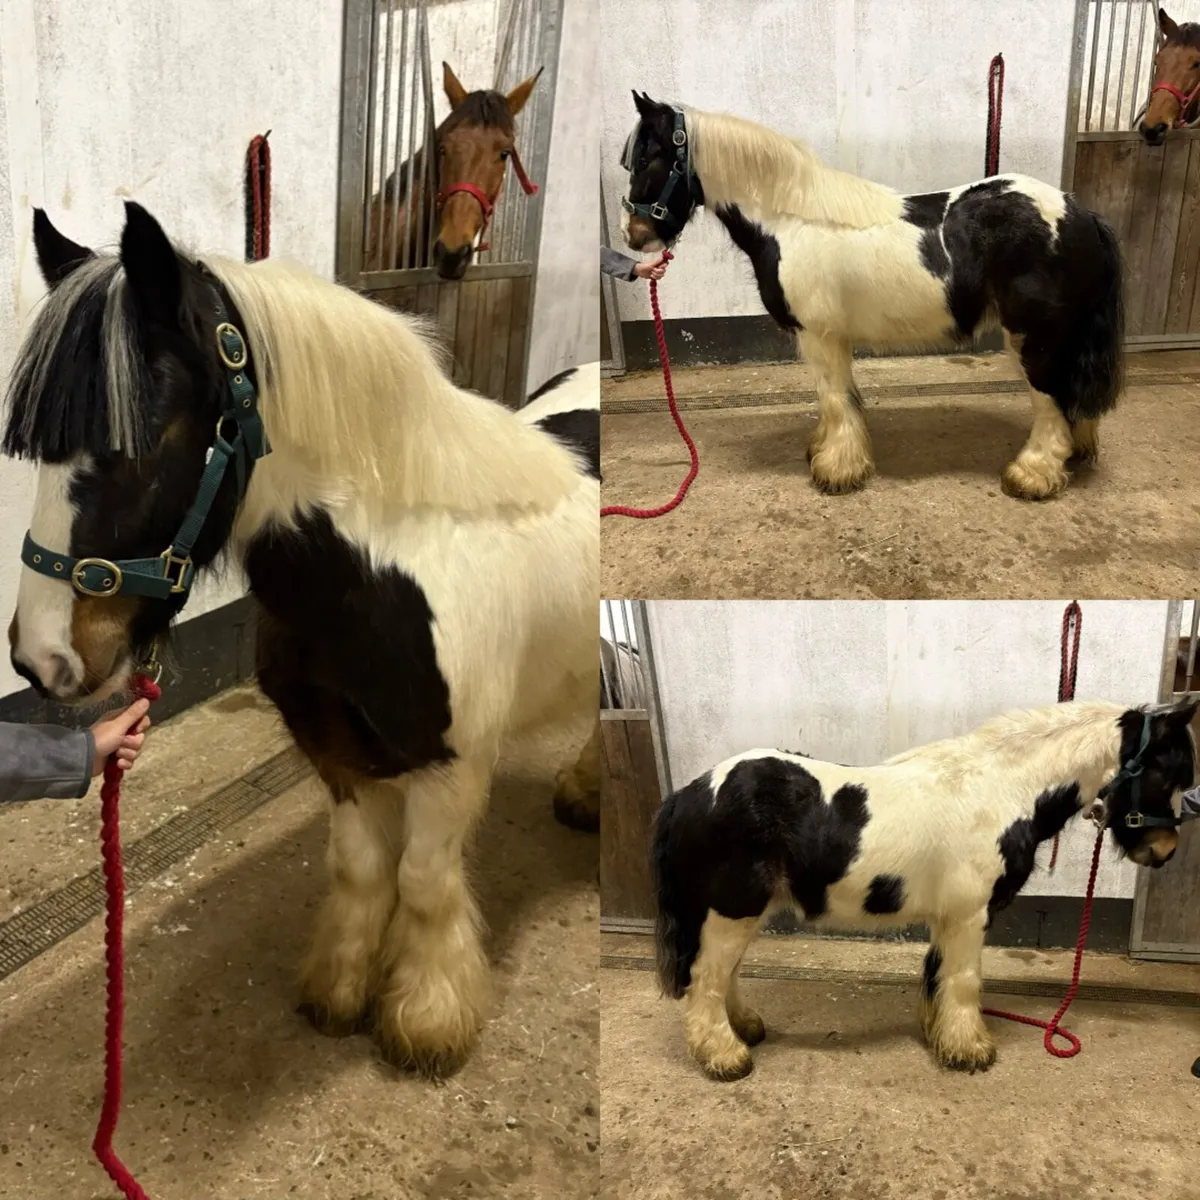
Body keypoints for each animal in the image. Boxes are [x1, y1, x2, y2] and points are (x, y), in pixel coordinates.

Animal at [3, 202, 599, 1077]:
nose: (40, 658)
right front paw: (339, 991)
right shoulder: (338, 758)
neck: (389, 568)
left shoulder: (451, 771)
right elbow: (358, 870)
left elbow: (425, 885)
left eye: (133, 443)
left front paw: (426, 1022)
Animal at [619, 93, 1125, 501]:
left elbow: (836, 397)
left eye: (646, 159)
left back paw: (1033, 474)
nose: (633, 235)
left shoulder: (820, 335)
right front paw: (824, 450)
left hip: (1035, 336)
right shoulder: (824, 337)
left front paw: (837, 469)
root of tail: (1081, 212)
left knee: (1051, 400)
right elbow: (834, 396)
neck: (790, 221)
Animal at [650, 698, 1196, 1081]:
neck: (1005, 789)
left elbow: (938, 975)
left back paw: (745, 1030)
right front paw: (971, 1050)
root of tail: (688, 793)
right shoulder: (971, 914)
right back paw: (726, 1058)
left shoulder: (949, 917)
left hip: (738, 912)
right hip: (731, 909)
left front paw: (942, 1038)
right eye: (1167, 771)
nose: (1166, 850)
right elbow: (965, 980)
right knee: (705, 979)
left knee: (724, 973)